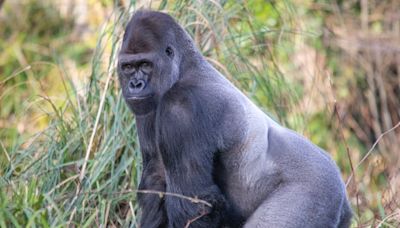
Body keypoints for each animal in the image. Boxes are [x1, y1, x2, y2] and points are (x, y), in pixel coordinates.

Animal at [117, 10, 352, 228]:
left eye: (145, 65)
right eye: (128, 67)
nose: (135, 85)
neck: (184, 67)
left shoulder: (181, 108)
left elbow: (195, 205)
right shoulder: (148, 109)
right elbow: (155, 183)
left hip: (316, 191)